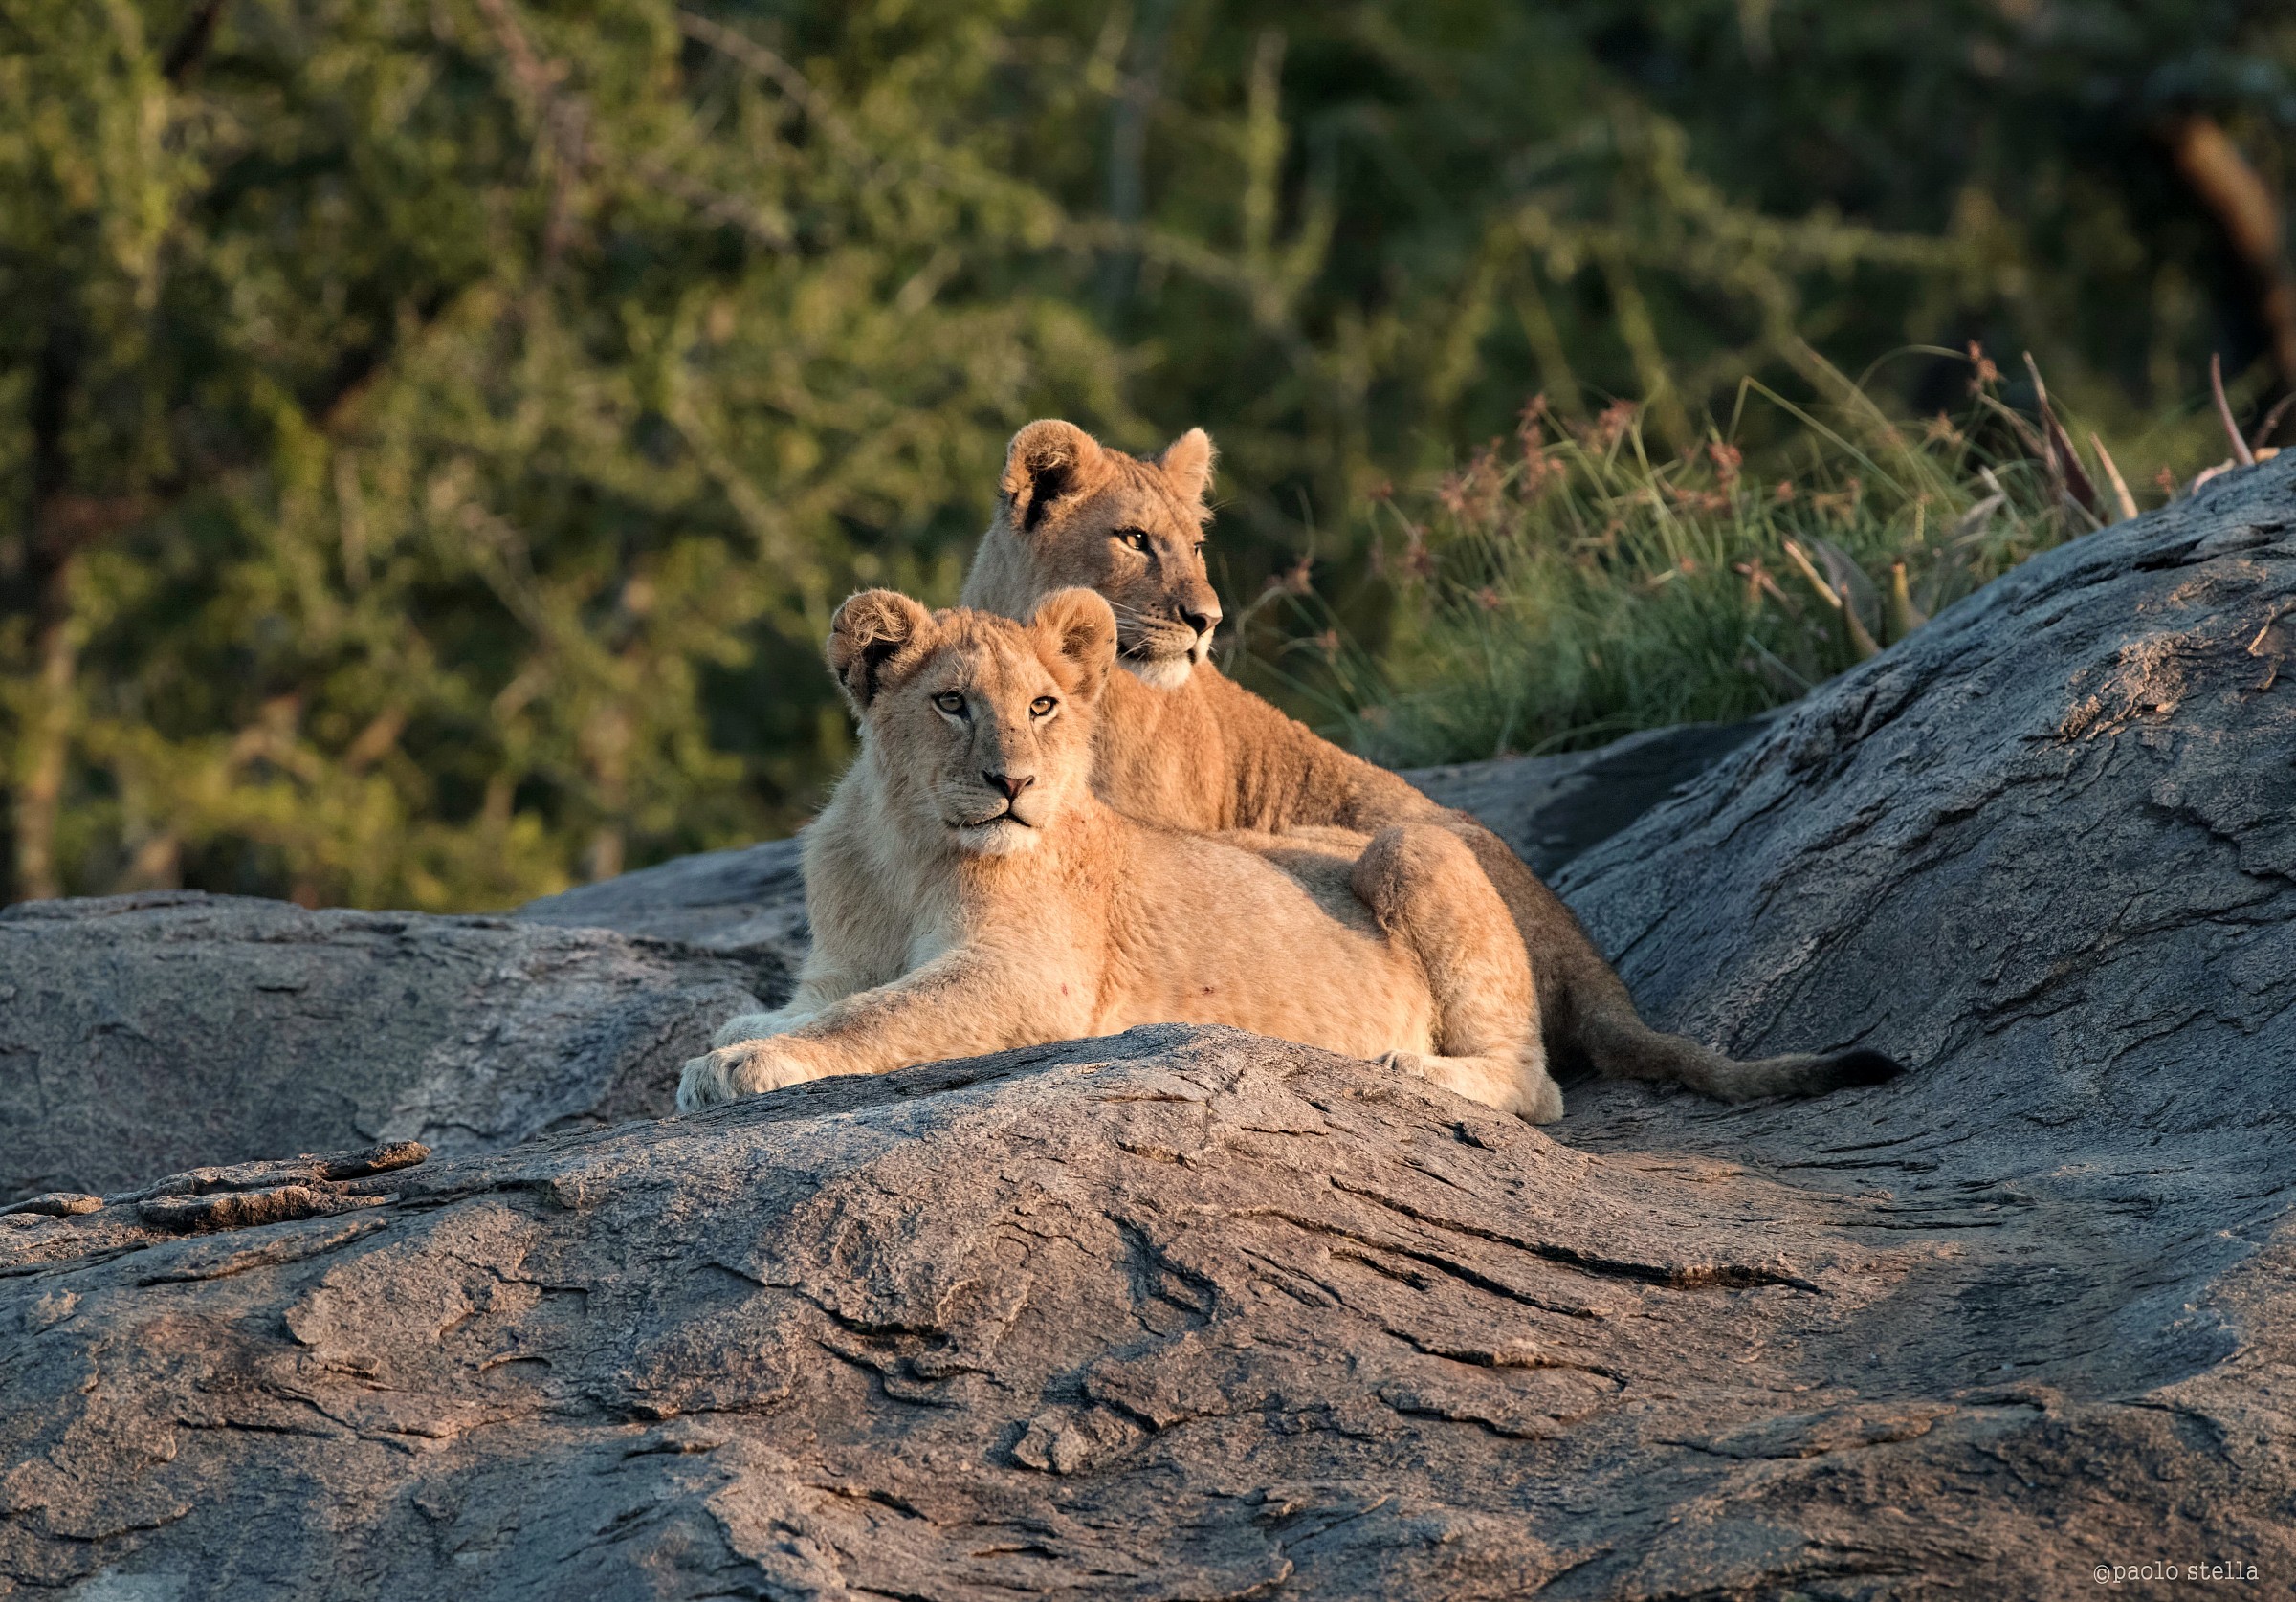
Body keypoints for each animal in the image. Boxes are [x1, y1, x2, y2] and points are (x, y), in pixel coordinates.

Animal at [677, 588, 1562, 1121]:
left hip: (1412, 844)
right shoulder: (840, 963)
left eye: (1042, 706)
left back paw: (1413, 1068)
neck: (909, 843)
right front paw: (745, 1030)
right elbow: (821, 1001)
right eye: (951, 702)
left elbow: (874, 1013)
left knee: (1538, 1082)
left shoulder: (1031, 976)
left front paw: (743, 1061)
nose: (1013, 782)